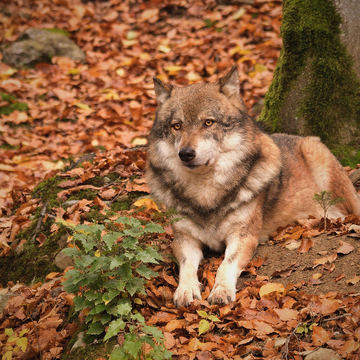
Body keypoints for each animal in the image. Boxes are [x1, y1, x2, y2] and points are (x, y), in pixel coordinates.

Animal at [146, 66, 360, 308]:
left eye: (208, 122)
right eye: (177, 126)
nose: (186, 154)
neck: (205, 193)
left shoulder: (244, 236)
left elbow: (225, 264)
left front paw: (221, 291)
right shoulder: (184, 239)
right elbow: (186, 267)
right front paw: (186, 290)